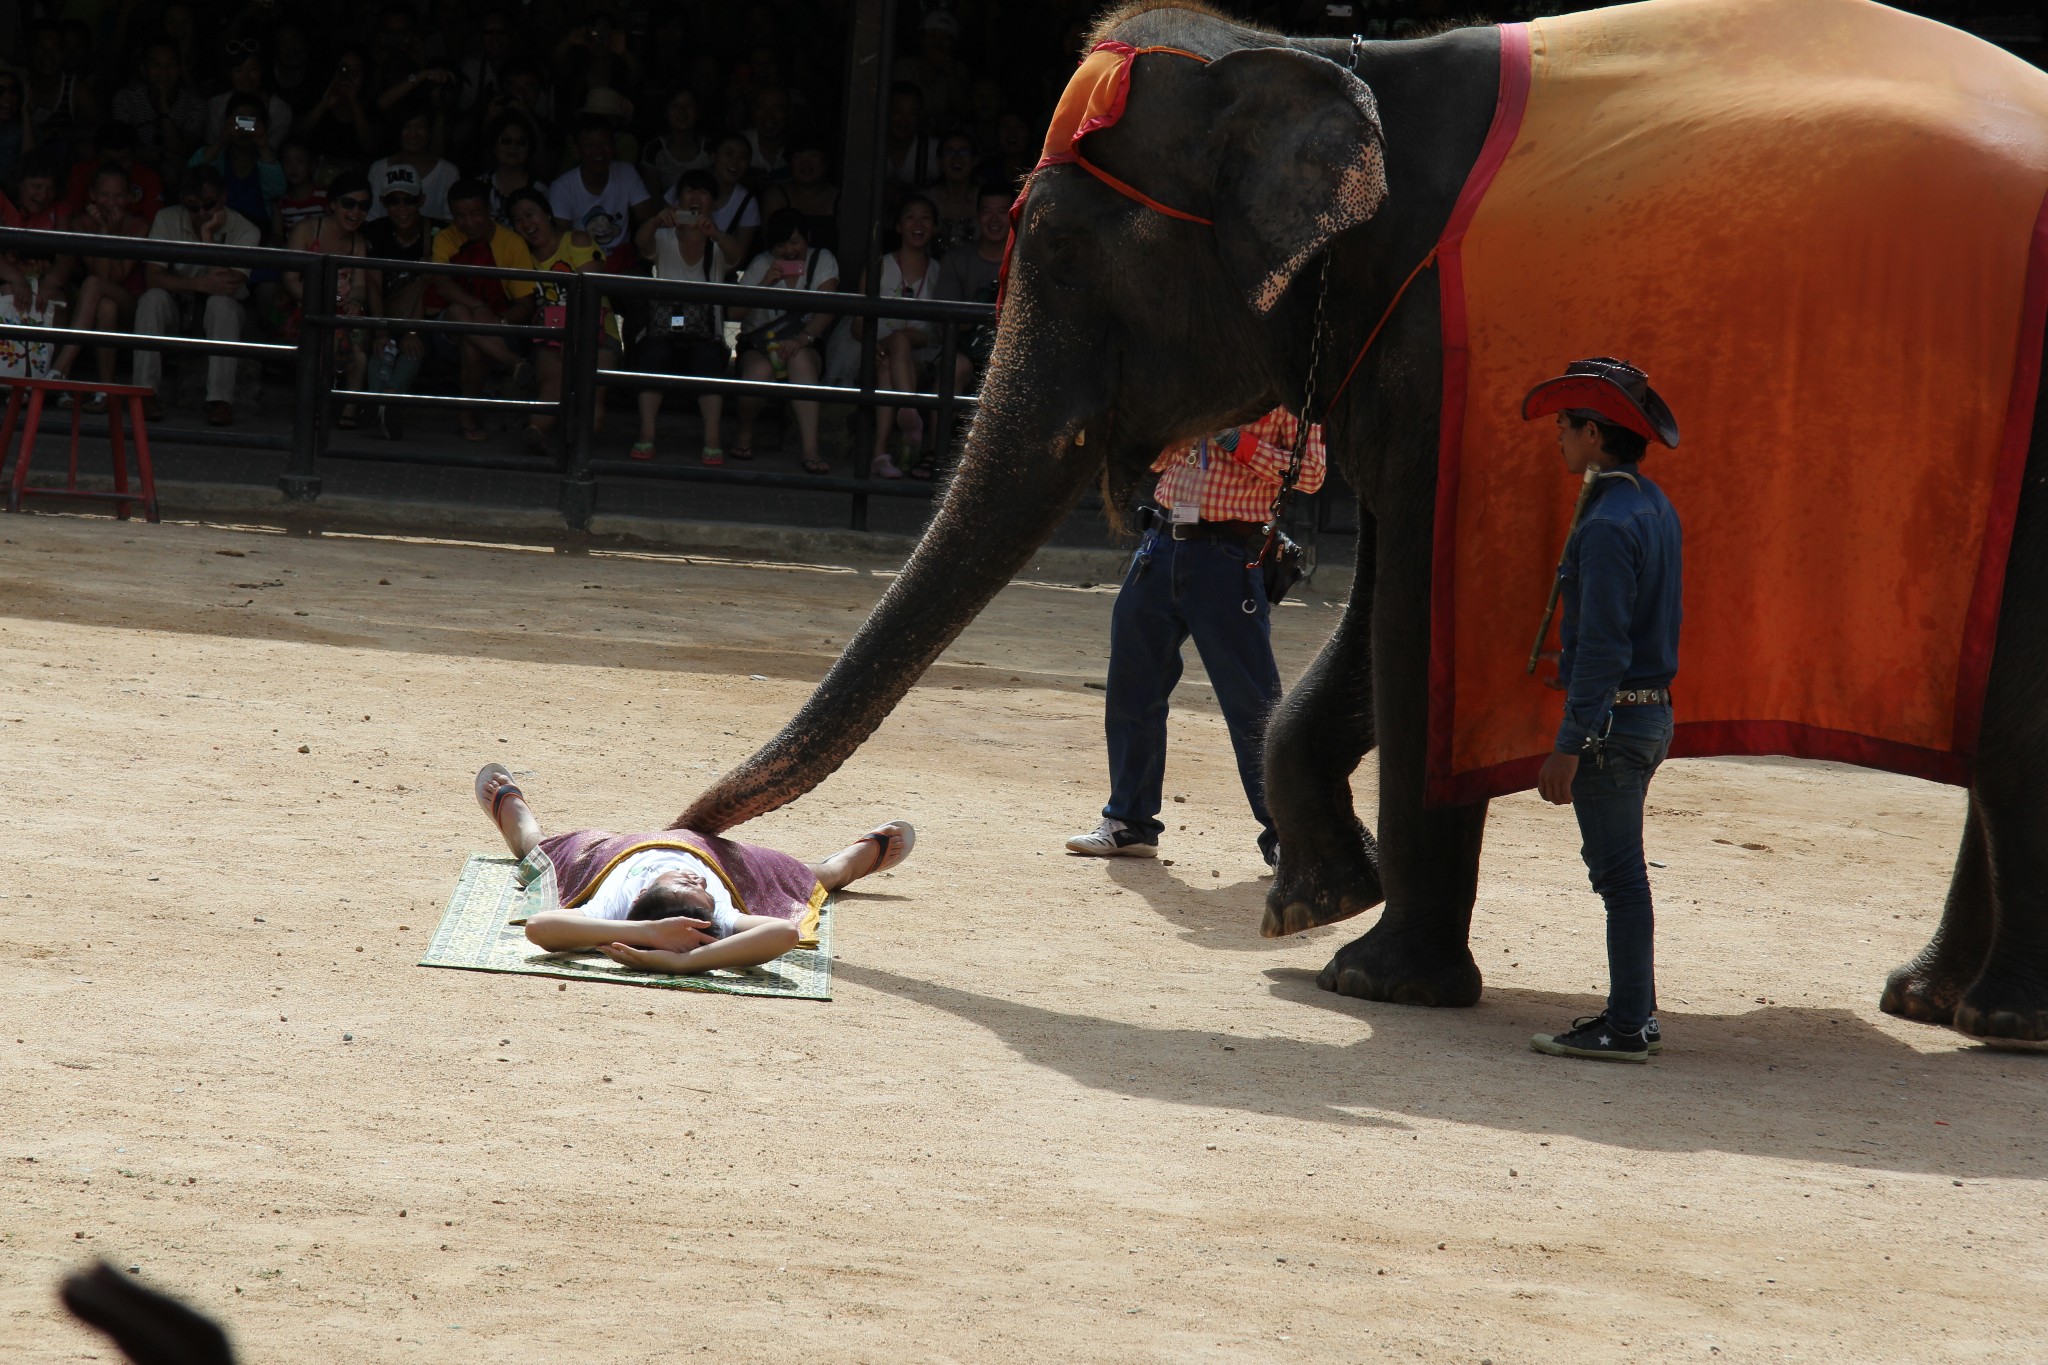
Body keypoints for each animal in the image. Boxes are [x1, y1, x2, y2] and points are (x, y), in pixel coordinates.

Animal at [679, 2, 2048, 1047]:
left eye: (1059, 251)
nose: (698, 838)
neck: (1330, 58)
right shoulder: (1394, 375)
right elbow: (1371, 614)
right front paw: (1311, 907)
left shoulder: (1464, 380)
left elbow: (1417, 626)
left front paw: (1374, 980)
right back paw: (1928, 1000)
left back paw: (1996, 1020)